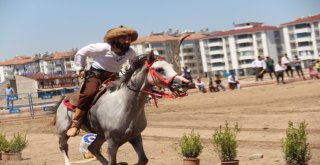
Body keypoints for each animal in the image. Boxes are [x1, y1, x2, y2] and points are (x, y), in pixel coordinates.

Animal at [53, 52, 189, 165]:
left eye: (171, 66)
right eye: (159, 69)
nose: (185, 82)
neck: (125, 105)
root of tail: (64, 97)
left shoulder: (135, 136)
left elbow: (143, 159)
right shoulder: (112, 141)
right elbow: (113, 162)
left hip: (100, 135)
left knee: (93, 148)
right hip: (63, 131)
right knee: (63, 147)